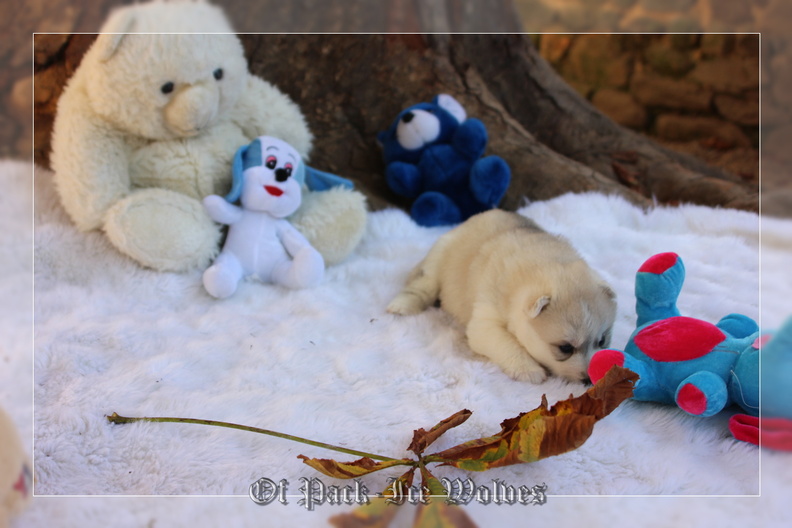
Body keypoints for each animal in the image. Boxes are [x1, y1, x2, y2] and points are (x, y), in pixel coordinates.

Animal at [386, 208, 616, 382]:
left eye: (602, 340)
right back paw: (403, 305)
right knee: (424, 284)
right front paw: (529, 370)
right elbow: (505, 342)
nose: (588, 380)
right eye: (565, 348)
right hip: (440, 256)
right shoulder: (485, 320)